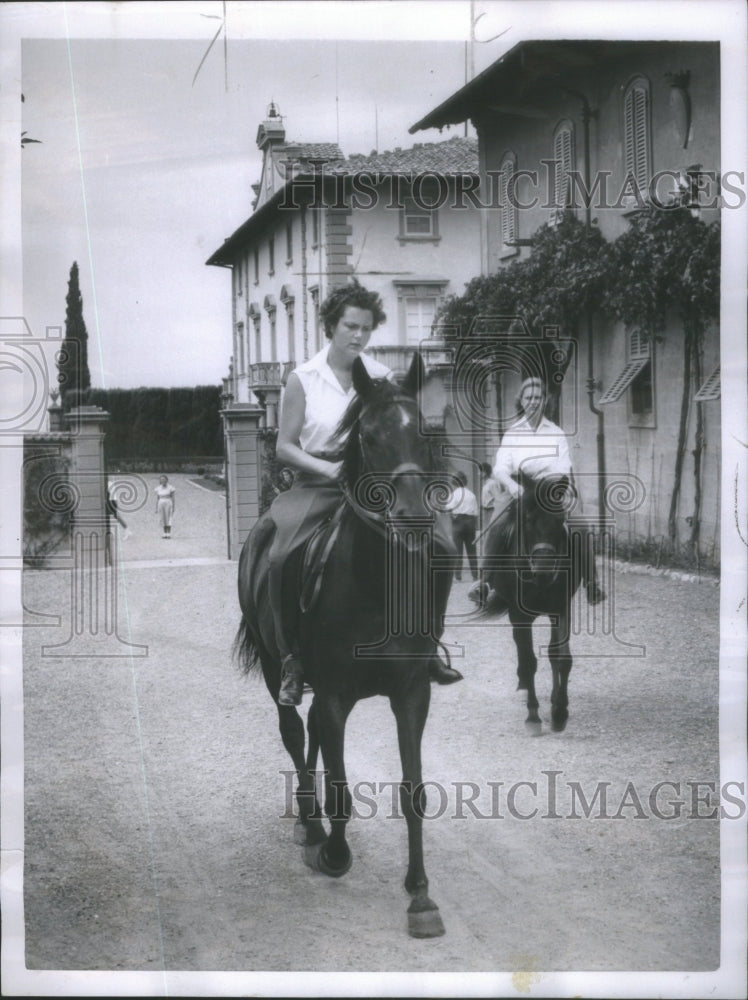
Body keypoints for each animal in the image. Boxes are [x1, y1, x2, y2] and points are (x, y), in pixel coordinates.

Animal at [237, 352, 452, 936]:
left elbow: (413, 791)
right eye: (369, 436)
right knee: (293, 731)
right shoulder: (335, 695)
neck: (377, 584)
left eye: (424, 434)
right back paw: (310, 825)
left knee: (308, 733)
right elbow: (338, 787)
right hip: (276, 668)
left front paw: (420, 895)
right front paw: (334, 853)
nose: (412, 518)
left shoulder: (412, 693)